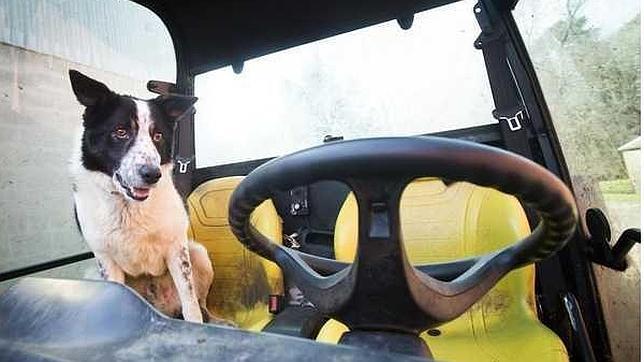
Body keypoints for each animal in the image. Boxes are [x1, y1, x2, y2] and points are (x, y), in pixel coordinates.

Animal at [67, 69, 219, 324]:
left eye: (157, 136)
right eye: (120, 132)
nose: (152, 175)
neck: (128, 205)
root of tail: (161, 308)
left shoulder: (177, 249)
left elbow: (191, 305)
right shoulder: (105, 259)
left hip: (198, 253)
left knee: (201, 303)